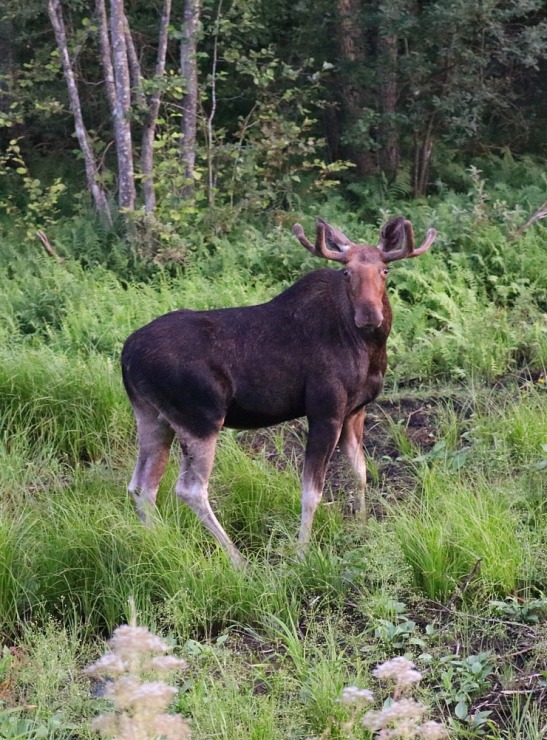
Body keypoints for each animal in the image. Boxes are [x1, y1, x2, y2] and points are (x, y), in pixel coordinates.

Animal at [121, 215, 436, 568]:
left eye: (385, 270)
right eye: (346, 272)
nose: (369, 314)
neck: (369, 348)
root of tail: (127, 355)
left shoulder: (356, 410)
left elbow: (360, 472)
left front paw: (363, 527)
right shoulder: (325, 411)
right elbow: (312, 491)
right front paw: (301, 554)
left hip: (152, 416)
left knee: (142, 486)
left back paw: (159, 542)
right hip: (200, 419)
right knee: (189, 488)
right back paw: (238, 560)